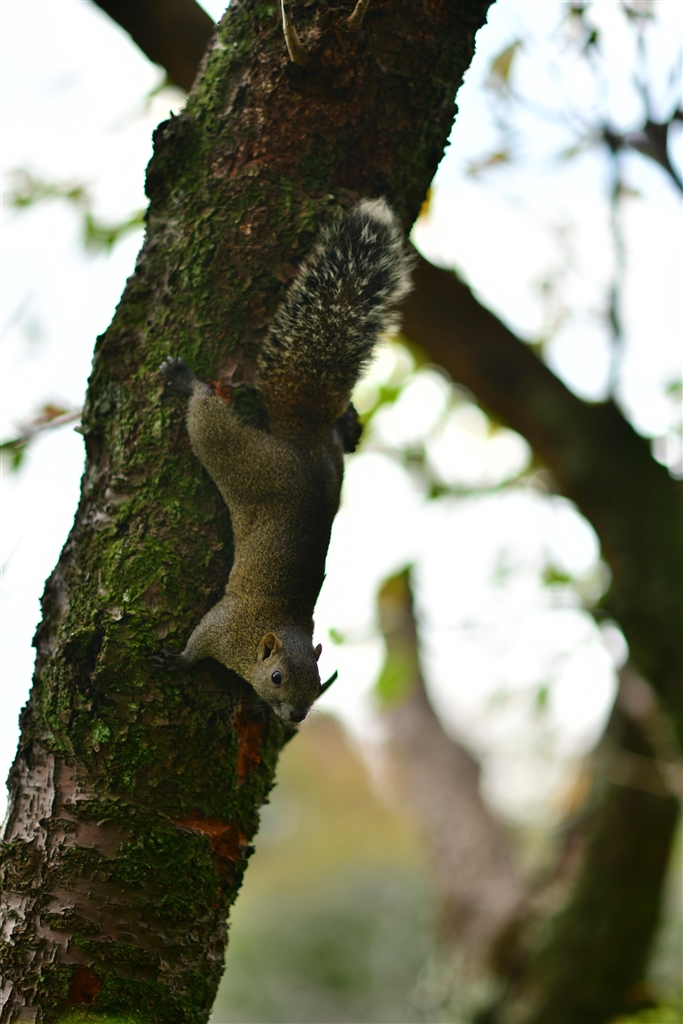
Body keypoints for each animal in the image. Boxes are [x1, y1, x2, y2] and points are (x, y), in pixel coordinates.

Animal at [158, 198, 412, 723]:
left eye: (318, 688)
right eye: (277, 678)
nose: (294, 716)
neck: (270, 631)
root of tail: (304, 441)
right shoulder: (224, 624)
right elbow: (197, 644)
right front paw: (178, 661)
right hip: (242, 456)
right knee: (208, 418)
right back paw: (185, 379)